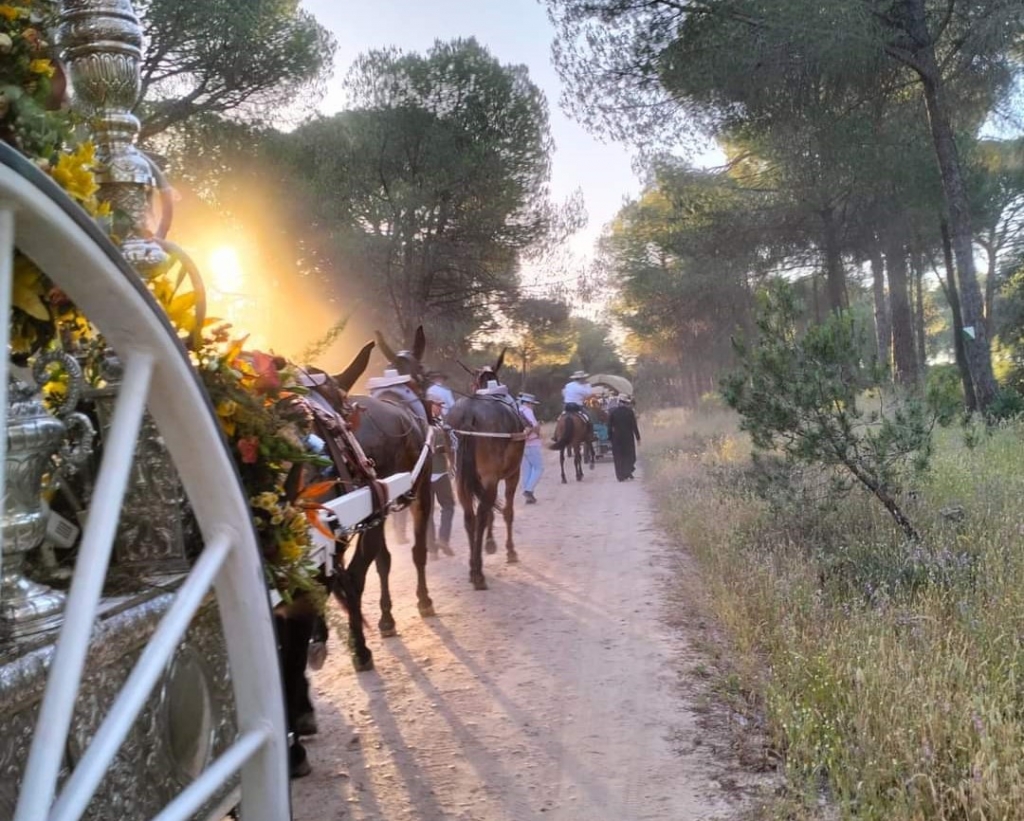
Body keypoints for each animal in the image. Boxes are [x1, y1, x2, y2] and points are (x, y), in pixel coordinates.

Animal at [448, 350, 528, 589]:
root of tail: (469, 414)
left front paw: (490, 543)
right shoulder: (512, 475)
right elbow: (507, 511)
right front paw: (510, 551)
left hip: (460, 479)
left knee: (470, 516)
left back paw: (473, 566)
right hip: (492, 476)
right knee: (482, 513)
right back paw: (478, 572)